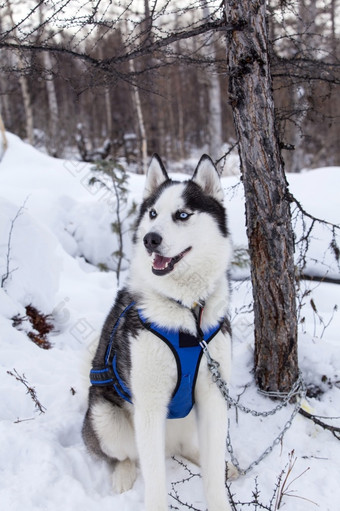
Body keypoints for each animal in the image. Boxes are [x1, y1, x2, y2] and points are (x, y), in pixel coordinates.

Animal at [82, 155, 232, 511]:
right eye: (152, 213)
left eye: (182, 214)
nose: (150, 238)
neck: (188, 313)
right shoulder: (149, 406)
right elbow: (154, 481)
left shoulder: (213, 398)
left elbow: (214, 479)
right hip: (105, 418)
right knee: (126, 456)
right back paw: (123, 475)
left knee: (194, 451)